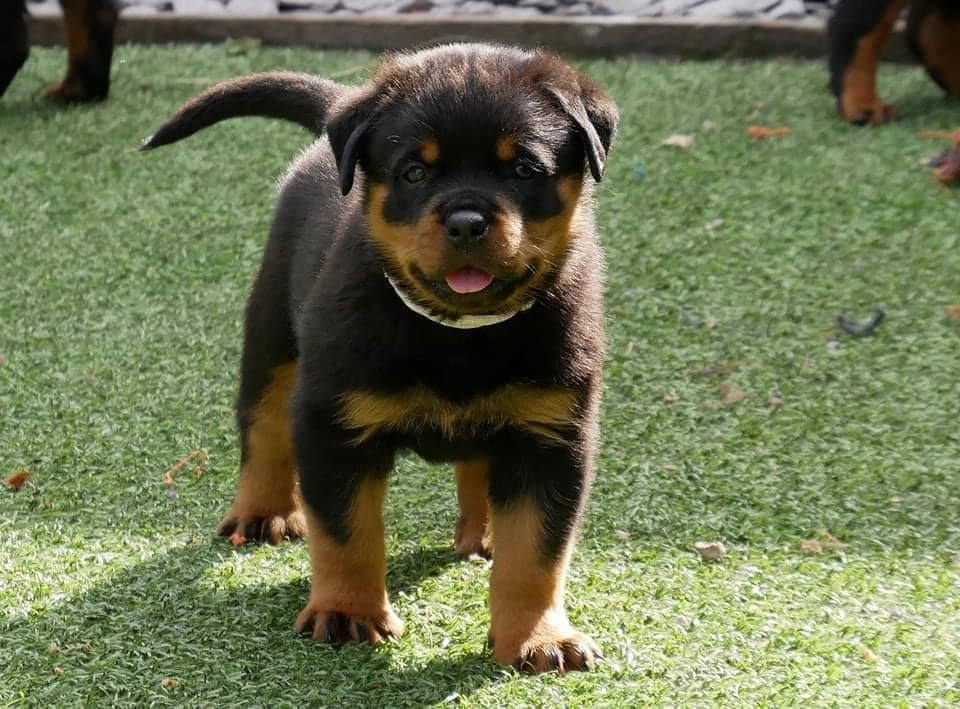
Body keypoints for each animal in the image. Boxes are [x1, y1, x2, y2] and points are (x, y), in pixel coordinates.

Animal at [142, 43, 618, 674]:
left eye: (523, 170)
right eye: (413, 172)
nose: (467, 221)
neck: (458, 335)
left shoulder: (552, 438)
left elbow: (537, 554)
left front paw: (538, 638)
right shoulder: (332, 425)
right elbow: (348, 533)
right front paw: (348, 612)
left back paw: (483, 530)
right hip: (272, 335)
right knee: (263, 425)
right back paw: (263, 512)